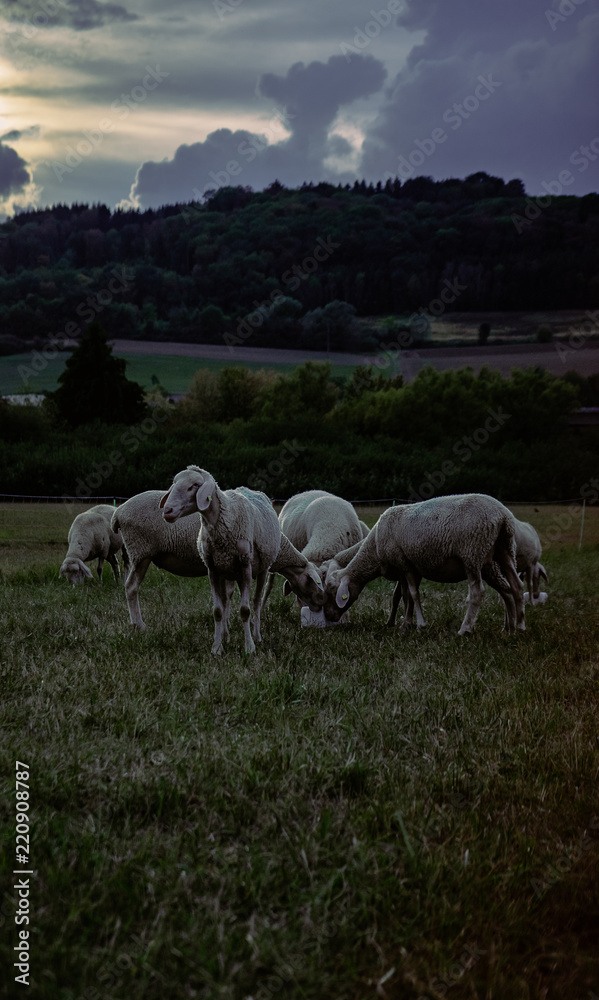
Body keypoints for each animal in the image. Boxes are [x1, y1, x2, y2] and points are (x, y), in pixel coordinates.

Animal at [160, 467, 324, 654]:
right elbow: (218, 610)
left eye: (194, 485)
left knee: (257, 603)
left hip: (260, 569)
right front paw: (217, 647)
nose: (167, 511)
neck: (225, 516)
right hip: (232, 571)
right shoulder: (213, 569)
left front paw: (249, 647)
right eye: (174, 484)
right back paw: (227, 635)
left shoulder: (246, 566)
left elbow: (245, 610)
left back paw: (257, 635)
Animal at [322, 493, 525, 635]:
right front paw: (405, 624)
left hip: (472, 554)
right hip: (503, 551)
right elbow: (404, 596)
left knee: (479, 592)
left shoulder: (404, 563)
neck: (374, 549)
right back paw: (516, 627)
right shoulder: (408, 568)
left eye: (332, 591)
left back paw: (465, 629)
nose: (328, 617)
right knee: (514, 587)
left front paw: (419, 625)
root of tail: (503, 515)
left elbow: (412, 594)